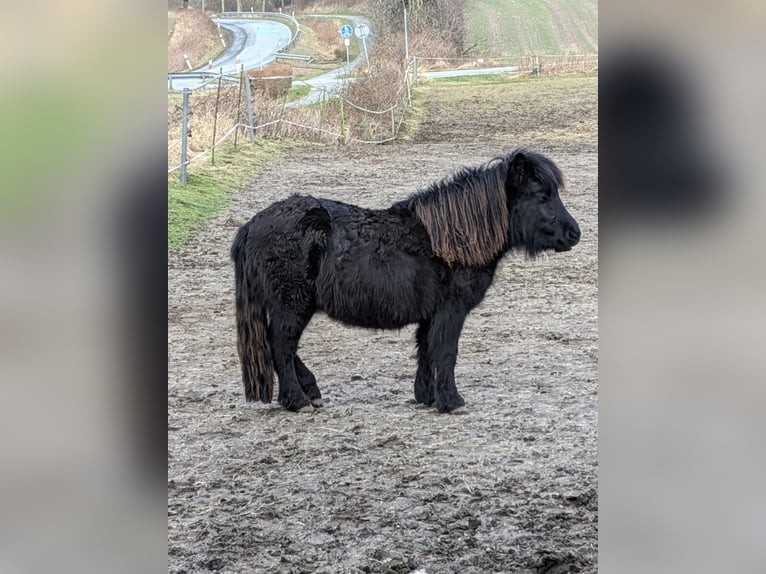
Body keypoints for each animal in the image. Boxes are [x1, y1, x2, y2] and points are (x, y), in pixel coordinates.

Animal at [231, 150, 580, 414]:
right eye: (541, 195)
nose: (574, 234)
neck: (453, 240)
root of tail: (252, 225)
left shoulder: (431, 314)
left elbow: (426, 350)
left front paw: (427, 396)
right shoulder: (451, 311)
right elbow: (446, 351)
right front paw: (452, 401)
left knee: (283, 347)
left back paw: (311, 391)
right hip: (292, 304)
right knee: (281, 346)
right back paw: (297, 400)